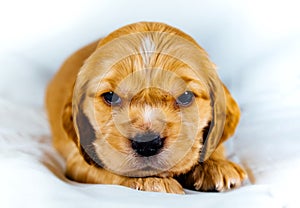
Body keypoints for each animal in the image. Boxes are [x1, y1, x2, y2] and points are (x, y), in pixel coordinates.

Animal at [44, 22, 246, 194]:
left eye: (186, 96)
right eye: (110, 96)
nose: (147, 144)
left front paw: (216, 165)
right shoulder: (78, 161)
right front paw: (151, 181)